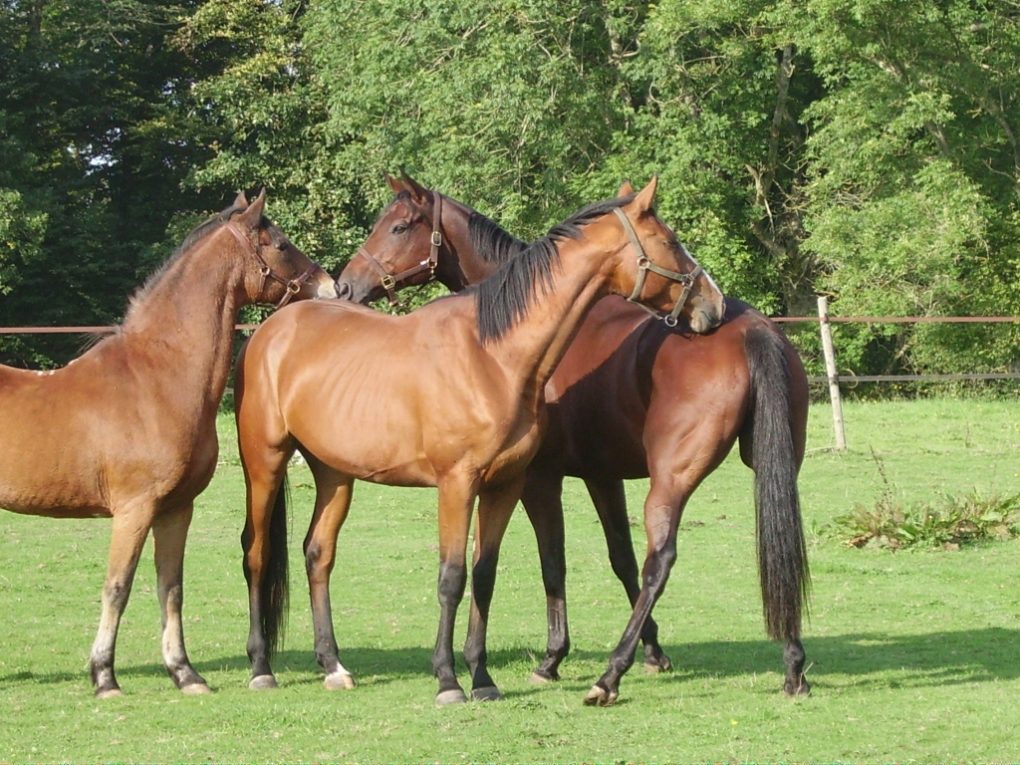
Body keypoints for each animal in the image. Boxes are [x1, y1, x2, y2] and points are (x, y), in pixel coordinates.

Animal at [0, 190, 340, 693]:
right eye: (280, 244)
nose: (332, 287)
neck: (158, 376)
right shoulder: (134, 509)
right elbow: (118, 587)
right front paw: (104, 676)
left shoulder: (176, 509)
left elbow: (170, 587)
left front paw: (184, 673)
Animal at [234, 176, 722, 705]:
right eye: (670, 241)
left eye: (400, 226)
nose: (714, 304)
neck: (492, 355)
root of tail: (270, 330)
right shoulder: (458, 485)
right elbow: (452, 577)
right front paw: (448, 679)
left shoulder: (505, 485)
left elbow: (484, 573)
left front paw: (483, 678)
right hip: (264, 462)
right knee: (257, 553)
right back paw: (260, 666)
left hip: (334, 474)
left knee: (318, 554)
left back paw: (333, 666)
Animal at [336, 173, 811, 705]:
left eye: (399, 227)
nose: (346, 284)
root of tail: (753, 330)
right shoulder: (603, 476)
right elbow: (620, 558)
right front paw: (654, 651)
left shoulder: (539, 478)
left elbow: (554, 563)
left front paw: (553, 658)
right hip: (773, 464)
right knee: (781, 542)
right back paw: (793, 666)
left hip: (671, 479)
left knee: (661, 560)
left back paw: (609, 675)